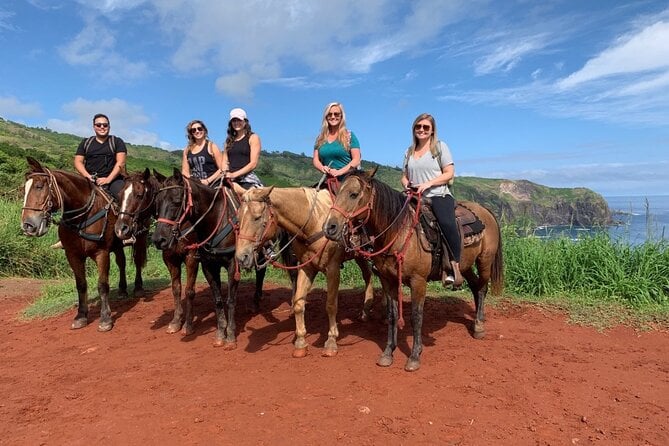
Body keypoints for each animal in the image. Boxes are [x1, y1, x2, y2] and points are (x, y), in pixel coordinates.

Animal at [20, 157, 147, 332]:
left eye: (39, 186)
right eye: (24, 190)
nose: (27, 226)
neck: (82, 217)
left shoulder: (101, 253)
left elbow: (102, 285)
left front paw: (105, 319)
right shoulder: (73, 255)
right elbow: (81, 285)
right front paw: (81, 316)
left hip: (140, 236)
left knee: (138, 260)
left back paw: (138, 288)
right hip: (117, 245)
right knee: (121, 262)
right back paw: (122, 290)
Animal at [113, 168, 201, 334]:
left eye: (139, 195)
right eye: (119, 196)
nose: (121, 229)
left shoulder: (191, 256)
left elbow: (189, 290)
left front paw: (188, 324)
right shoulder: (169, 258)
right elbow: (176, 289)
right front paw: (176, 321)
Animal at [322, 169, 500, 372]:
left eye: (354, 194)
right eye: (337, 193)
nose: (330, 227)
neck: (398, 232)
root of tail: (486, 211)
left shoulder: (418, 281)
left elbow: (416, 317)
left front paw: (414, 356)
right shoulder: (387, 280)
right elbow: (392, 315)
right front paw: (388, 352)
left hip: (485, 260)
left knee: (482, 288)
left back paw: (478, 326)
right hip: (466, 265)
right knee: (474, 286)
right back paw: (479, 318)